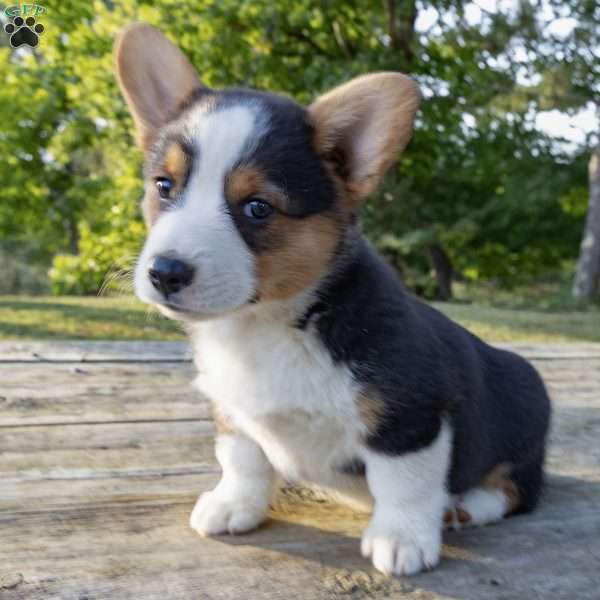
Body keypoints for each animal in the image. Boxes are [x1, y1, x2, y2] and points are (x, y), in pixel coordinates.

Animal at [115, 24, 552, 576]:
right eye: (164, 186)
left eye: (258, 208)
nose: (164, 273)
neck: (266, 325)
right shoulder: (233, 409)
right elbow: (241, 459)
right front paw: (233, 506)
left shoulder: (409, 415)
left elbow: (404, 483)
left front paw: (401, 539)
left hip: (525, 415)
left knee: (518, 490)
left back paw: (468, 507)